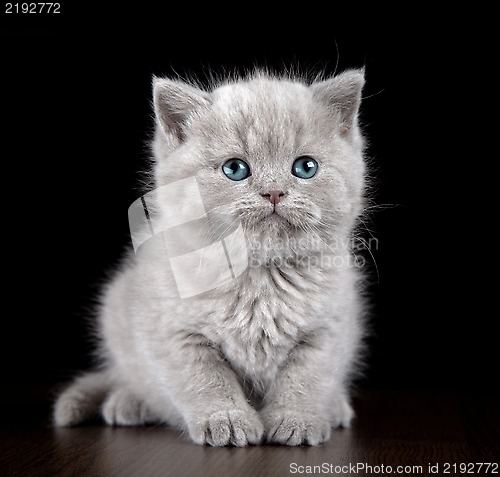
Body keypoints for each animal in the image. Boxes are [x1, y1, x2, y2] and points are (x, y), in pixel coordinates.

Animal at [53, 68, 368, 446]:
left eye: (305, 167)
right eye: (235, 169)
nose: (274, 192)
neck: (260, 276)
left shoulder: (328, 329)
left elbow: (305, 379)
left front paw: (297, 420)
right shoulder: (175, 332)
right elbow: (206, 380)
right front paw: (227, 420)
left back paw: (335, 408)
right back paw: (130, 403)